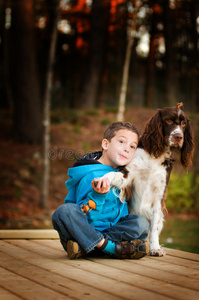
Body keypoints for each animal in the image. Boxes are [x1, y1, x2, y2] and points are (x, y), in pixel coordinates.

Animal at [96, 103, 194, 255]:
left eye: (183, 123)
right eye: (169, 121)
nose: (178, 136)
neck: (155, 155)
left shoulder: (159, 195)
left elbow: (153, 228)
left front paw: (155, 248)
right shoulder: (128, 175)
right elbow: (113, 175)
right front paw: (102, 179)